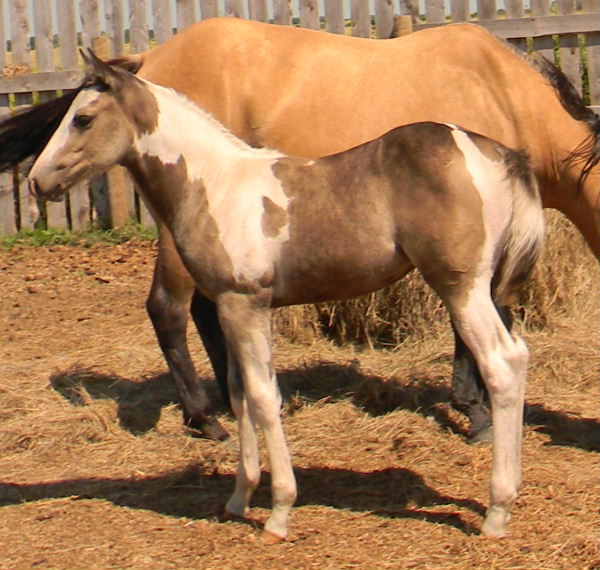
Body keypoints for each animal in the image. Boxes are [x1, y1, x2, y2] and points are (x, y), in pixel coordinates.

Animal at [1, 19, 598, 442]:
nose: (39, 181)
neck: (500, 93)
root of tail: (151, 57)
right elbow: (474, 324)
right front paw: (475, 411)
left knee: (204, 311)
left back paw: (243, 398)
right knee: (168, 310)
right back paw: (204, 417)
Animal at [27, 51, 544, 542]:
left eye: (83, 119)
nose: (37, 181)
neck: (215, 184)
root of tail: (496, 152)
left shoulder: (245, 304)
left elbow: (261, 397)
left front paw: (278, 512)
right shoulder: (230, 307)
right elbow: (238, 393)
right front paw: (240, 498)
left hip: (462, 287)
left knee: (501, 364)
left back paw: (496, 510)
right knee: (518, 358)